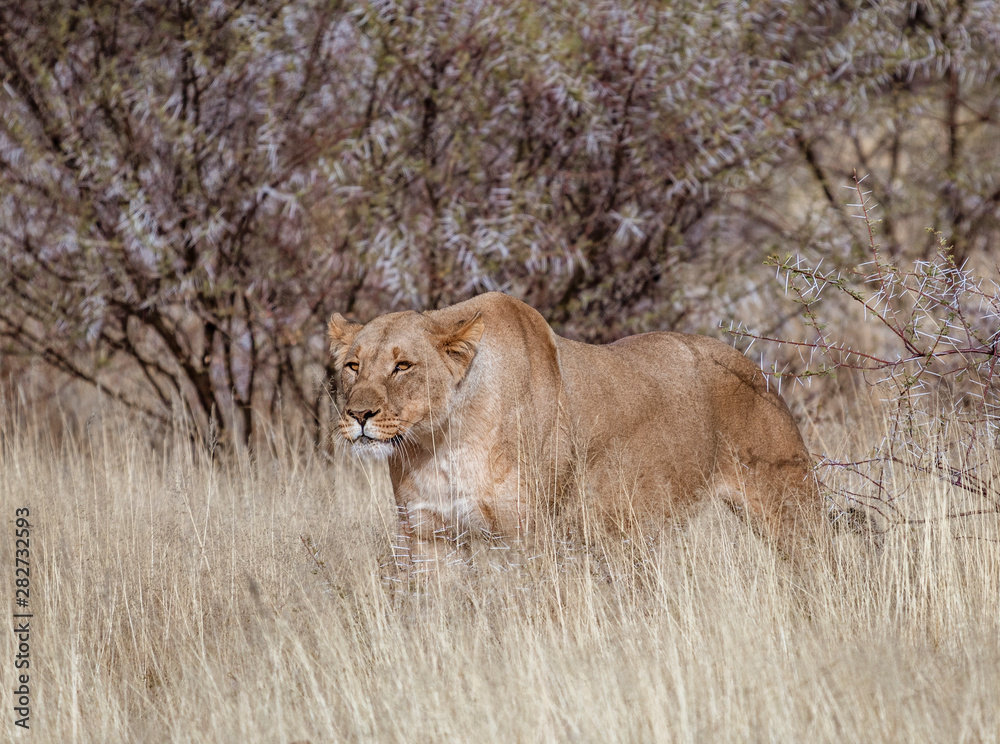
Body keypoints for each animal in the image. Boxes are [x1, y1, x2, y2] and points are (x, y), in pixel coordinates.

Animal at [328, 292, 826, 570]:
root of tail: (755, 365)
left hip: (790, 508)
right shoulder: (429, 536)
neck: (441, 442)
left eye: (403, 366)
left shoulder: (529, 537)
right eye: (353, 366)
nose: (359, 414)